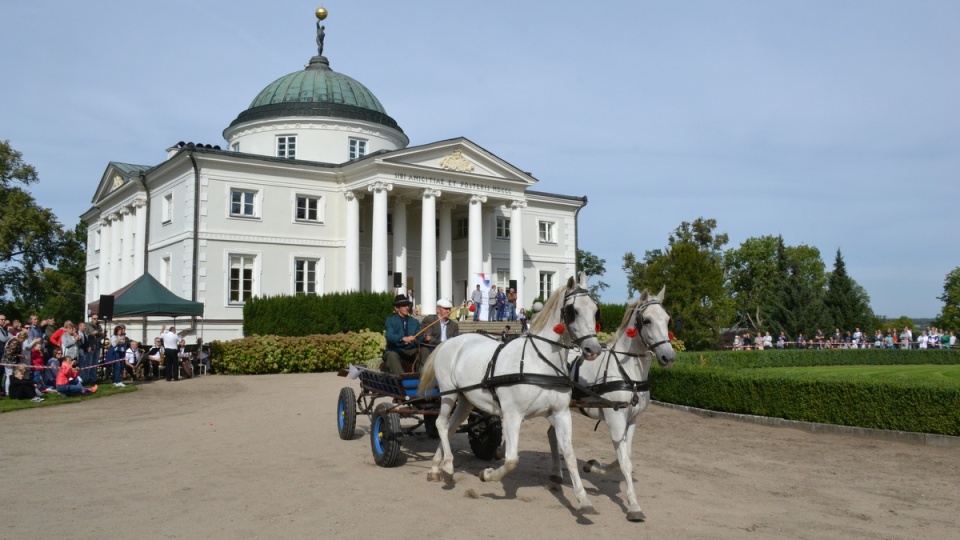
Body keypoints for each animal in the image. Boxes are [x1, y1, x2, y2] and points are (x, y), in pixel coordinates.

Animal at [418, 274, 604, 516]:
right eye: (573, 311)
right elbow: (512, 459)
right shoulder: (512, 415)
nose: (594, 350)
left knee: (449, 428)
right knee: (440, 423)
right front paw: (487, 474)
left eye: (595, 310)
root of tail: (449, 342)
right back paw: (447, 465)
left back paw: (436, 467)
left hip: (466, 400)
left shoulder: (561, 413)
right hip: (449, 393)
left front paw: (583, 500)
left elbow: (570, 456)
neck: (540, 363)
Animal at [548, 288, 676, 520]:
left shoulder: (632, 420)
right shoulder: (615, 419)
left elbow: (624, 456)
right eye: (647, 320)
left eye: (668, 320)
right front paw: (634, 506)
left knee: (552, 436)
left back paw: (557, 472)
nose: (668, 357)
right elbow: (624, 461)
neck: (627, 373)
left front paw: (593, 466)